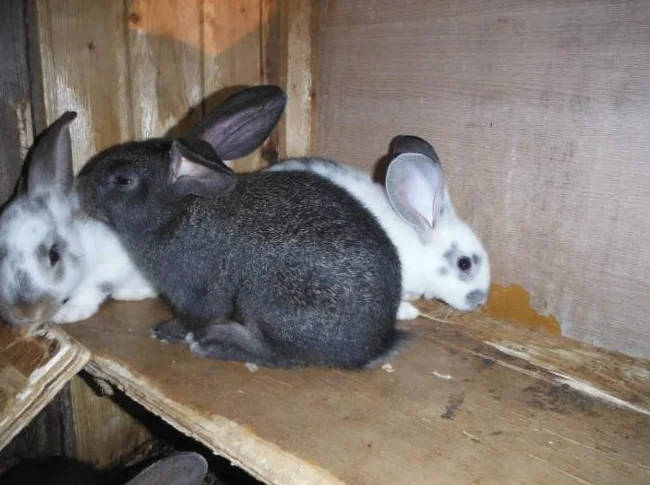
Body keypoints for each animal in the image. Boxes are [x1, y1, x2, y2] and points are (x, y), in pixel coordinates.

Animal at [77, 85, 404, 369]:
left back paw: (215, 343)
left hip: (266, 303)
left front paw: (166, 331)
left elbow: (193, 316)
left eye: (123, 180)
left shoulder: (195, 294)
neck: (176, 214)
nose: (83, 190)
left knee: (282, 357)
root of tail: (376, 345)